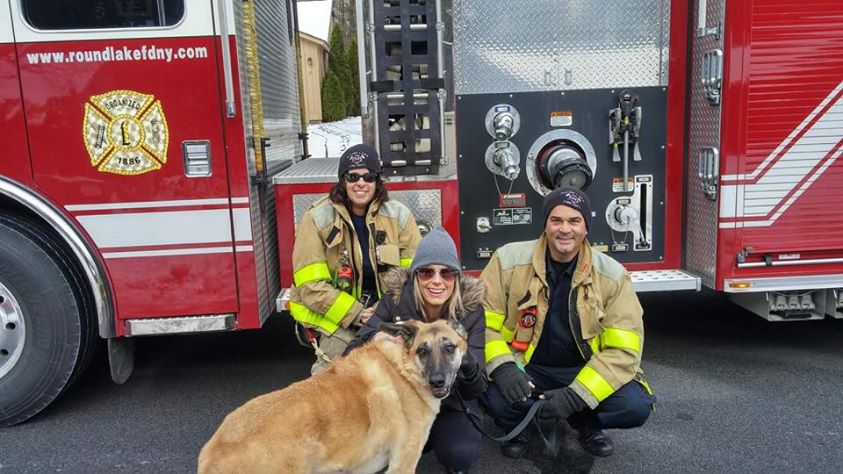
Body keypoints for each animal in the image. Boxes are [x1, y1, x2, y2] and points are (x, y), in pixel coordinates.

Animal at [197, 319, 467, 474]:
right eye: (422, 351)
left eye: (449, 347)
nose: (437, 381)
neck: (404, 368)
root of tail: (213, 451)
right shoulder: (403, 463)